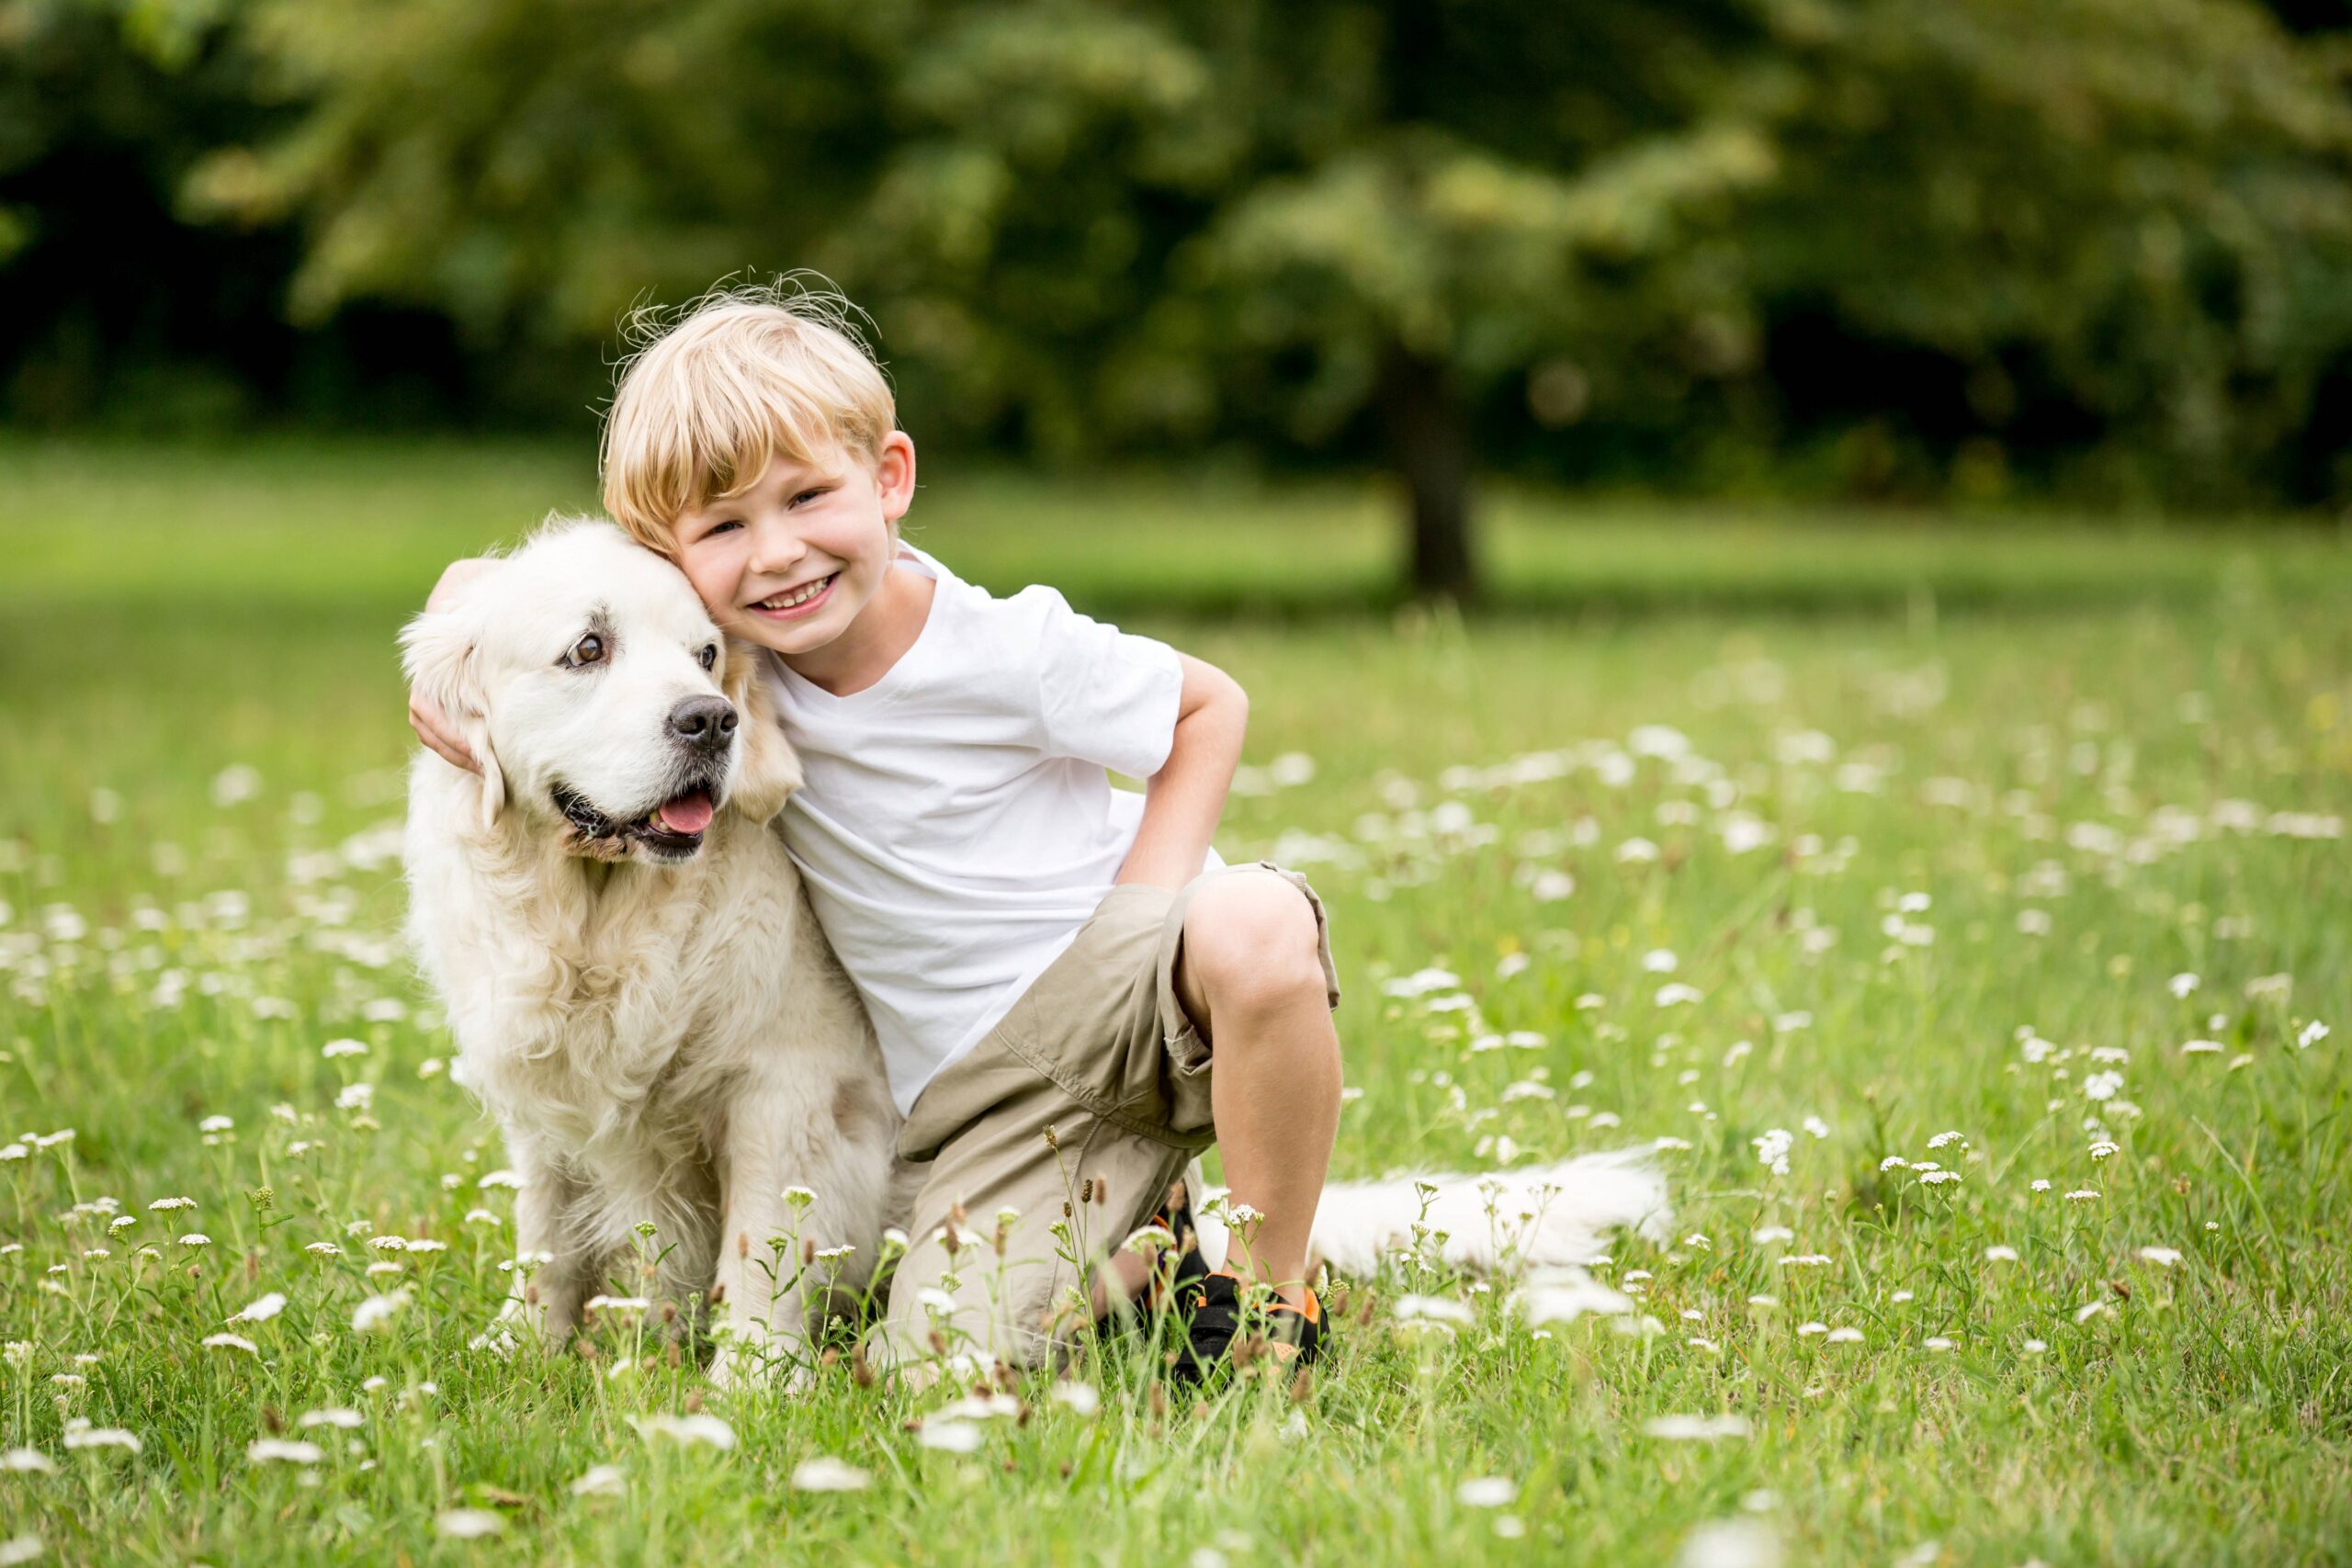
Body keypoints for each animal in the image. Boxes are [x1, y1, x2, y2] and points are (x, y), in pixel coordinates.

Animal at [404, 522, 898, 1382]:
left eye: (706, 654)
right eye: (588, 647)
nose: (712, 720)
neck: (600, 924)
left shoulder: (783, 1085)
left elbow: (759, 1236)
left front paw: (752, 1376)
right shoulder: (544, 1096)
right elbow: (546, 1227)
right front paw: (524, 1342)